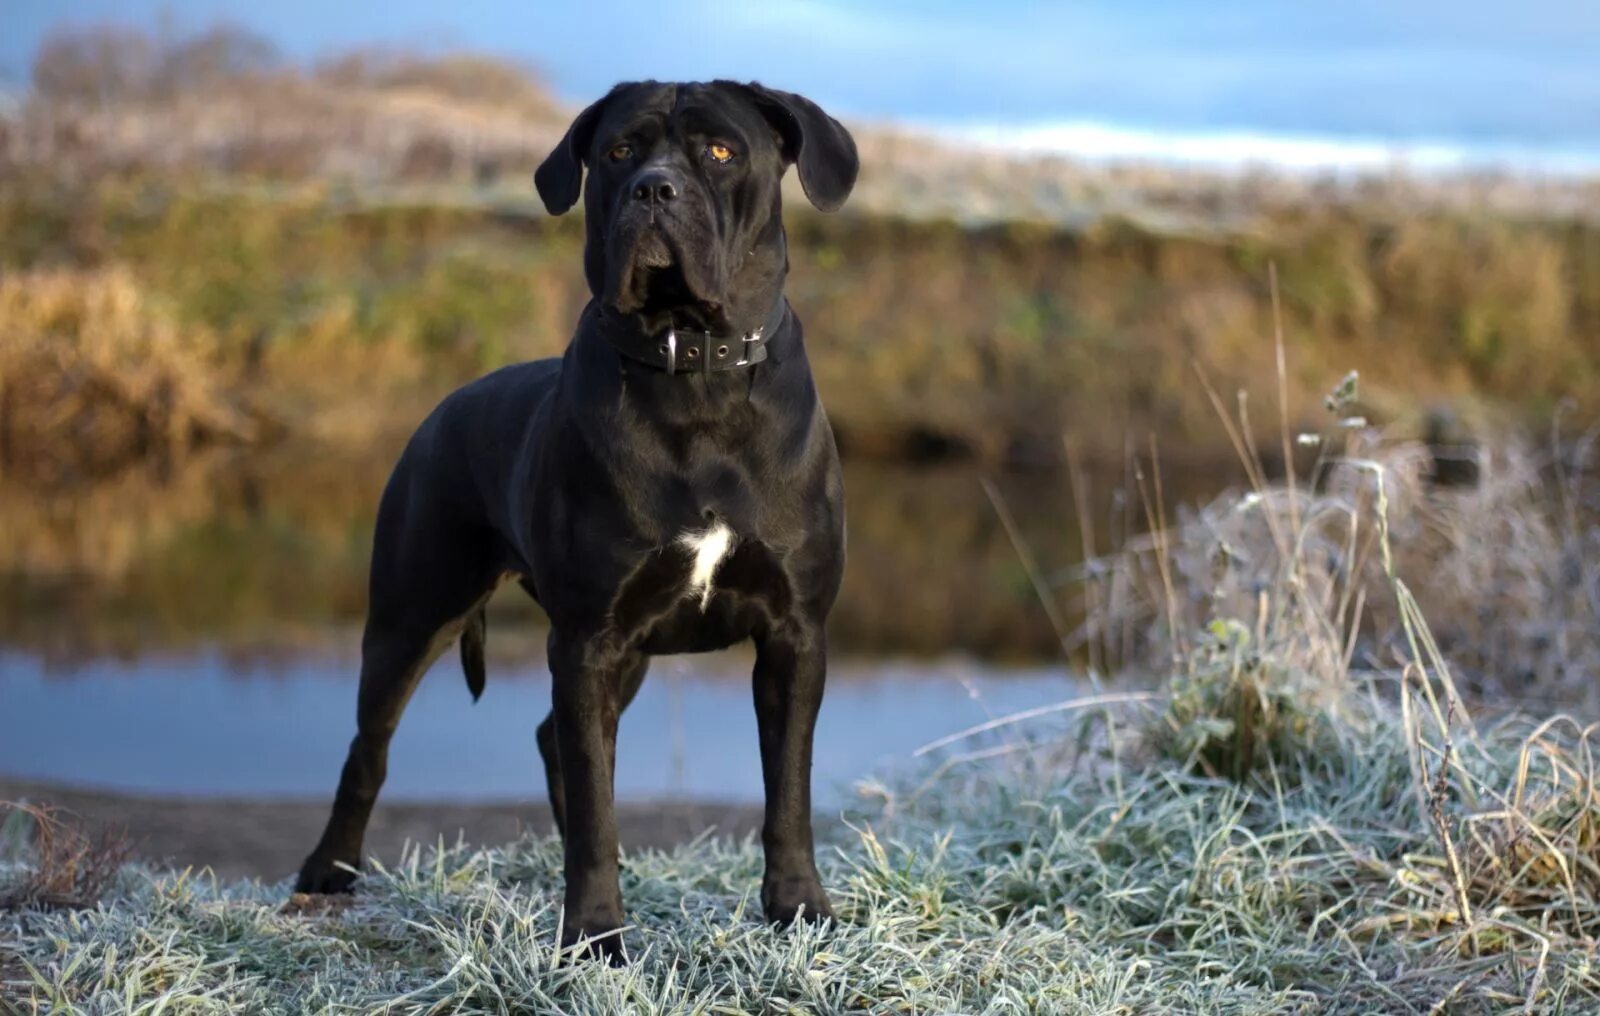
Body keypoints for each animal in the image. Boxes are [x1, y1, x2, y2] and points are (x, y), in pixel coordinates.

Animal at [294, 79, 857, 960]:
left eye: (721, 151)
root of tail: (441, 407)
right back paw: (329, 869)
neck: (692, 368)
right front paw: (595, 937)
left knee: (546, 739)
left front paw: (799, 909)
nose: (654, 190)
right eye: (621, 151)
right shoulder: (590, 637)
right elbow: (597, 802)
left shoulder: (794, 635)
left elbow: (787, 793)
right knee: (370, 749)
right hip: (412, 613)